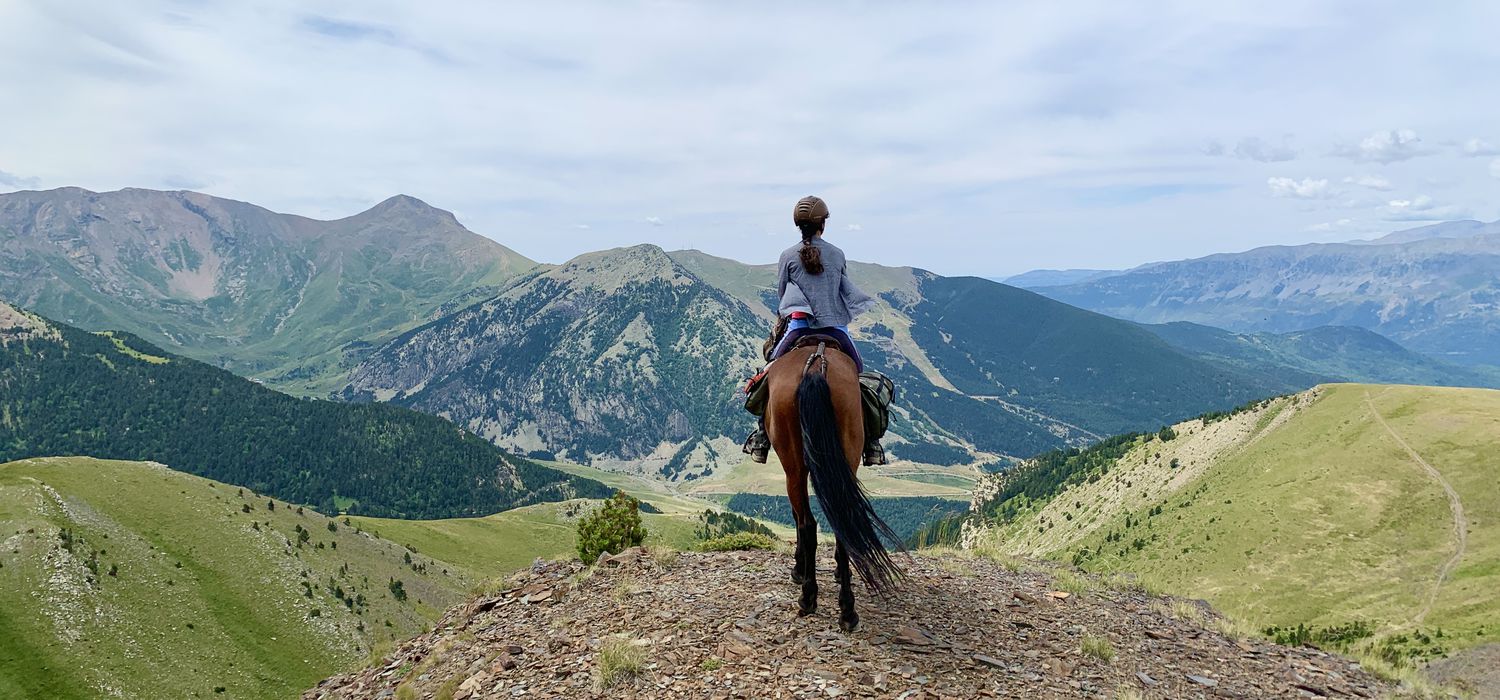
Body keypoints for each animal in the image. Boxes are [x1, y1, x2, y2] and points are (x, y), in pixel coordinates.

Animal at [762, 337, 900, 632]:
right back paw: (847, 610)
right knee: (841, 522)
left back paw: (808, 597)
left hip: (793, 466)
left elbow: (797, 518)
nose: (768, 347)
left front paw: (799, 569)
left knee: (807, 523)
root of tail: (817, 365)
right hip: (845, 454)